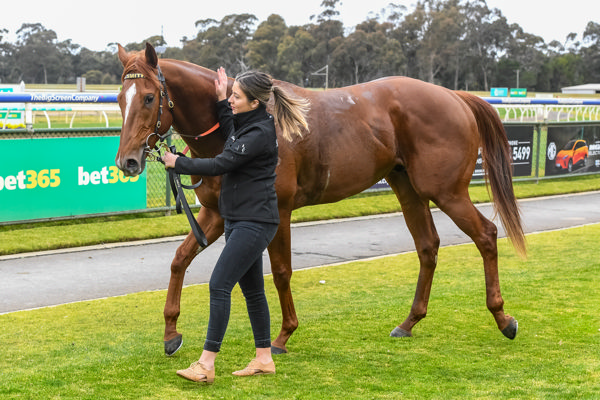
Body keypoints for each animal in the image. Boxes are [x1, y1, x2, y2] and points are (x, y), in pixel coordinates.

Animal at [113, 43, 524, 356]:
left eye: (148, 97)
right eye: (119, 99)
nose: (127, 162)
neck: (238, 127)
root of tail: (454, 96)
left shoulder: (277, 211)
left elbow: (281, 272)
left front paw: (282, 335)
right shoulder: (216, 214)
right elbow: (179, 259)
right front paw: (171, 333)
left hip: (446, 191)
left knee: (486, 235)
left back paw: (503, 317)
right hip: (407, 188)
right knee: (427, 246)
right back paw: (409, 322)